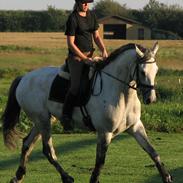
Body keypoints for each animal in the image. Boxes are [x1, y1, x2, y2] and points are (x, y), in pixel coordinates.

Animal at [2, 41, 172, 183]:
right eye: (142, 72)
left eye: (156, 70)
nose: (151, 99)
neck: (122, 93)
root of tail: (24, 77)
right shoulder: (104, 132)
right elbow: (100, 161)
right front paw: (93, 180)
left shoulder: (135, 127)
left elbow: (153, 152)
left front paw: (167, 177)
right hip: (42, 120)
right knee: (47, 149)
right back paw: (66, 177)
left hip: (44, 120)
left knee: (27, 144)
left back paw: (18, 176)